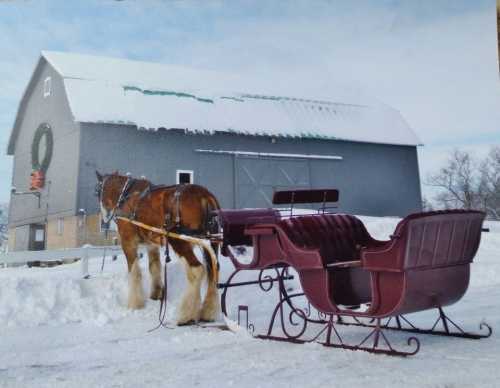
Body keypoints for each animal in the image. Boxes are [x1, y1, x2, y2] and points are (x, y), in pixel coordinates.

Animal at [95, 171, 221, 326]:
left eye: (98, 190)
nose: (104, 216)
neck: (126, 195)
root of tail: (204, 195)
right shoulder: (151, 244)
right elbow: (154, 267)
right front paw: (156, 294)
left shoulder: (128, 242)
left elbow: (134, 271)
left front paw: (135, 303)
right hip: (211, 241)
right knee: (214, 269)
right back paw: (208, 312)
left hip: (179, 240)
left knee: (196, 270)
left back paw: (187, 315)